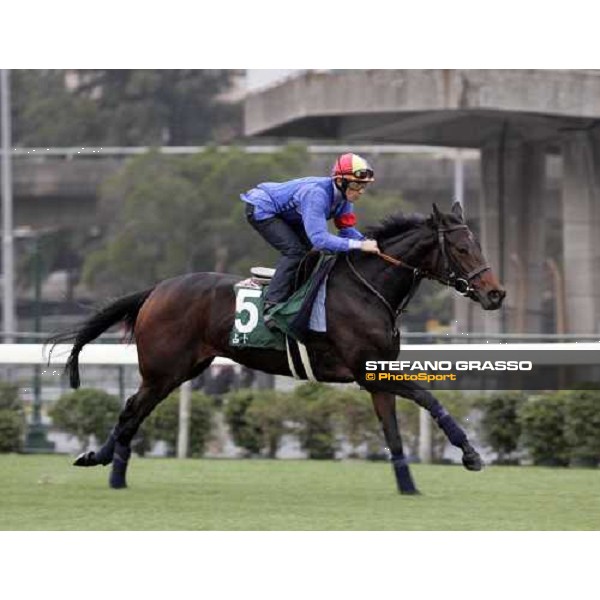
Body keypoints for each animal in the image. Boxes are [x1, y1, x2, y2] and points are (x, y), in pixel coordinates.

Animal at [49, 204, 504, 494]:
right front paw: (470, 454)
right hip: (164, 370)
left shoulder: (376, 377)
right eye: (462, 248)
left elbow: (392, 433)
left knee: (135, 413)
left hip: (183, 370)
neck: (367, 290)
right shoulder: (364, 370)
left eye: (479, 244)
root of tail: (157, 289)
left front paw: (408, 486)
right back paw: (104, 464)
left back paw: (108, 466)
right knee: (130, 411)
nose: (495, 293)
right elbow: (429, 397)